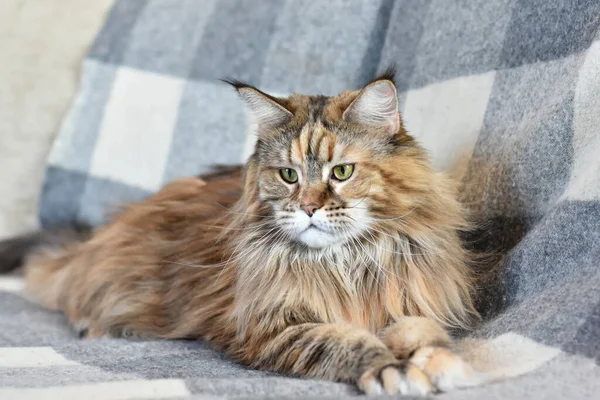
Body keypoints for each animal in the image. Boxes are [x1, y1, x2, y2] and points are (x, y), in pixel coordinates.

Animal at [0, 72, 482, 396]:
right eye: (288, 175)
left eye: (342, 172)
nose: (308, 207)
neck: (345, 264)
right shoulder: (271, 326)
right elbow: (343, 342)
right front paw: (391, 368)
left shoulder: (410, 300)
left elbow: (422, 331)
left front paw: (442, 363)